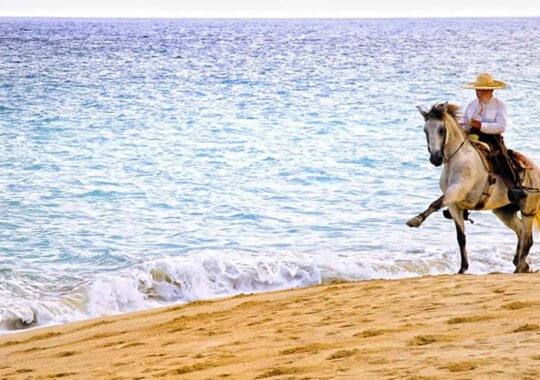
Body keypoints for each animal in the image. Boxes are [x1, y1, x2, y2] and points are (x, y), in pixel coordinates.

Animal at [408, 101, 536, 274]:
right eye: (425, 130)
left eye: (441, 129)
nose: (435, 159)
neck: (456, 160)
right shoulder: (454, 205)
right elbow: (461, 237)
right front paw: (463, 268)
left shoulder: (456, 191)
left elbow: (435, 204)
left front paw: (415, 220)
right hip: (504, 212)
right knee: (520, 232)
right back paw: (520, 264)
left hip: (528, 210)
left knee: (528, 239)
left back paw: (519, 267)